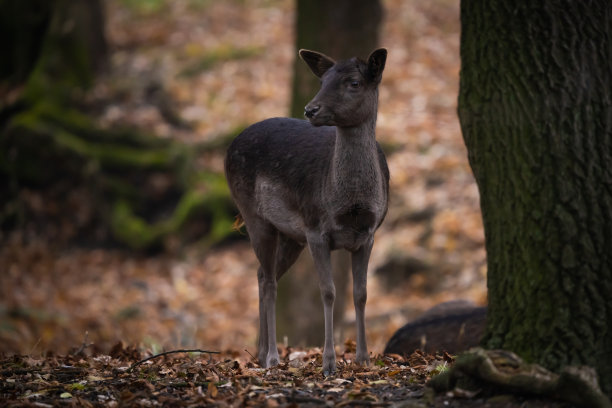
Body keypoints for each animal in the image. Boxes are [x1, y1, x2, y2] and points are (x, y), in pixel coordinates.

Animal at [224, 47, 388, 376]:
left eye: (354, 82)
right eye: (323, 80)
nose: (311, 109)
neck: (351, 205)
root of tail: (229, 147)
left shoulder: (368, 234)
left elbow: (361, 293)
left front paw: (364, 358)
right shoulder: (316, 229)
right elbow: (328, 291)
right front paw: (329, 362)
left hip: (290, 235)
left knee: (262, 274)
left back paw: (260, 353)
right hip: (254, 216)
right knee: (269, 280)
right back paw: (272, 357)